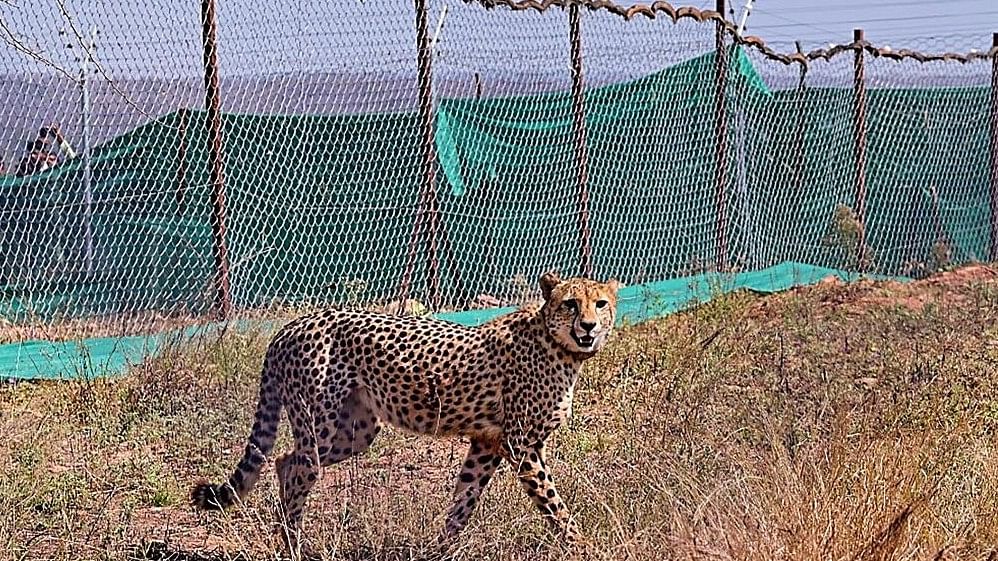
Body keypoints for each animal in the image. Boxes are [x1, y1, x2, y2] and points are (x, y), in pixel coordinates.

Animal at [191, 272, 620, 556]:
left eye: (600, 304)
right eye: (570, 303)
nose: (588, 326)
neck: (558, 344)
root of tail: (290, 326)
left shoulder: (488, 443)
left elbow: (463, 501)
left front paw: (441, 549)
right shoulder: (521, 446)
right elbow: (555, 505)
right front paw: (584, 547)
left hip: (355, 432)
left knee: (283, 461)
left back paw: (289, 538)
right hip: (321, 425)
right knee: (298, 467)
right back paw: (294, 546)